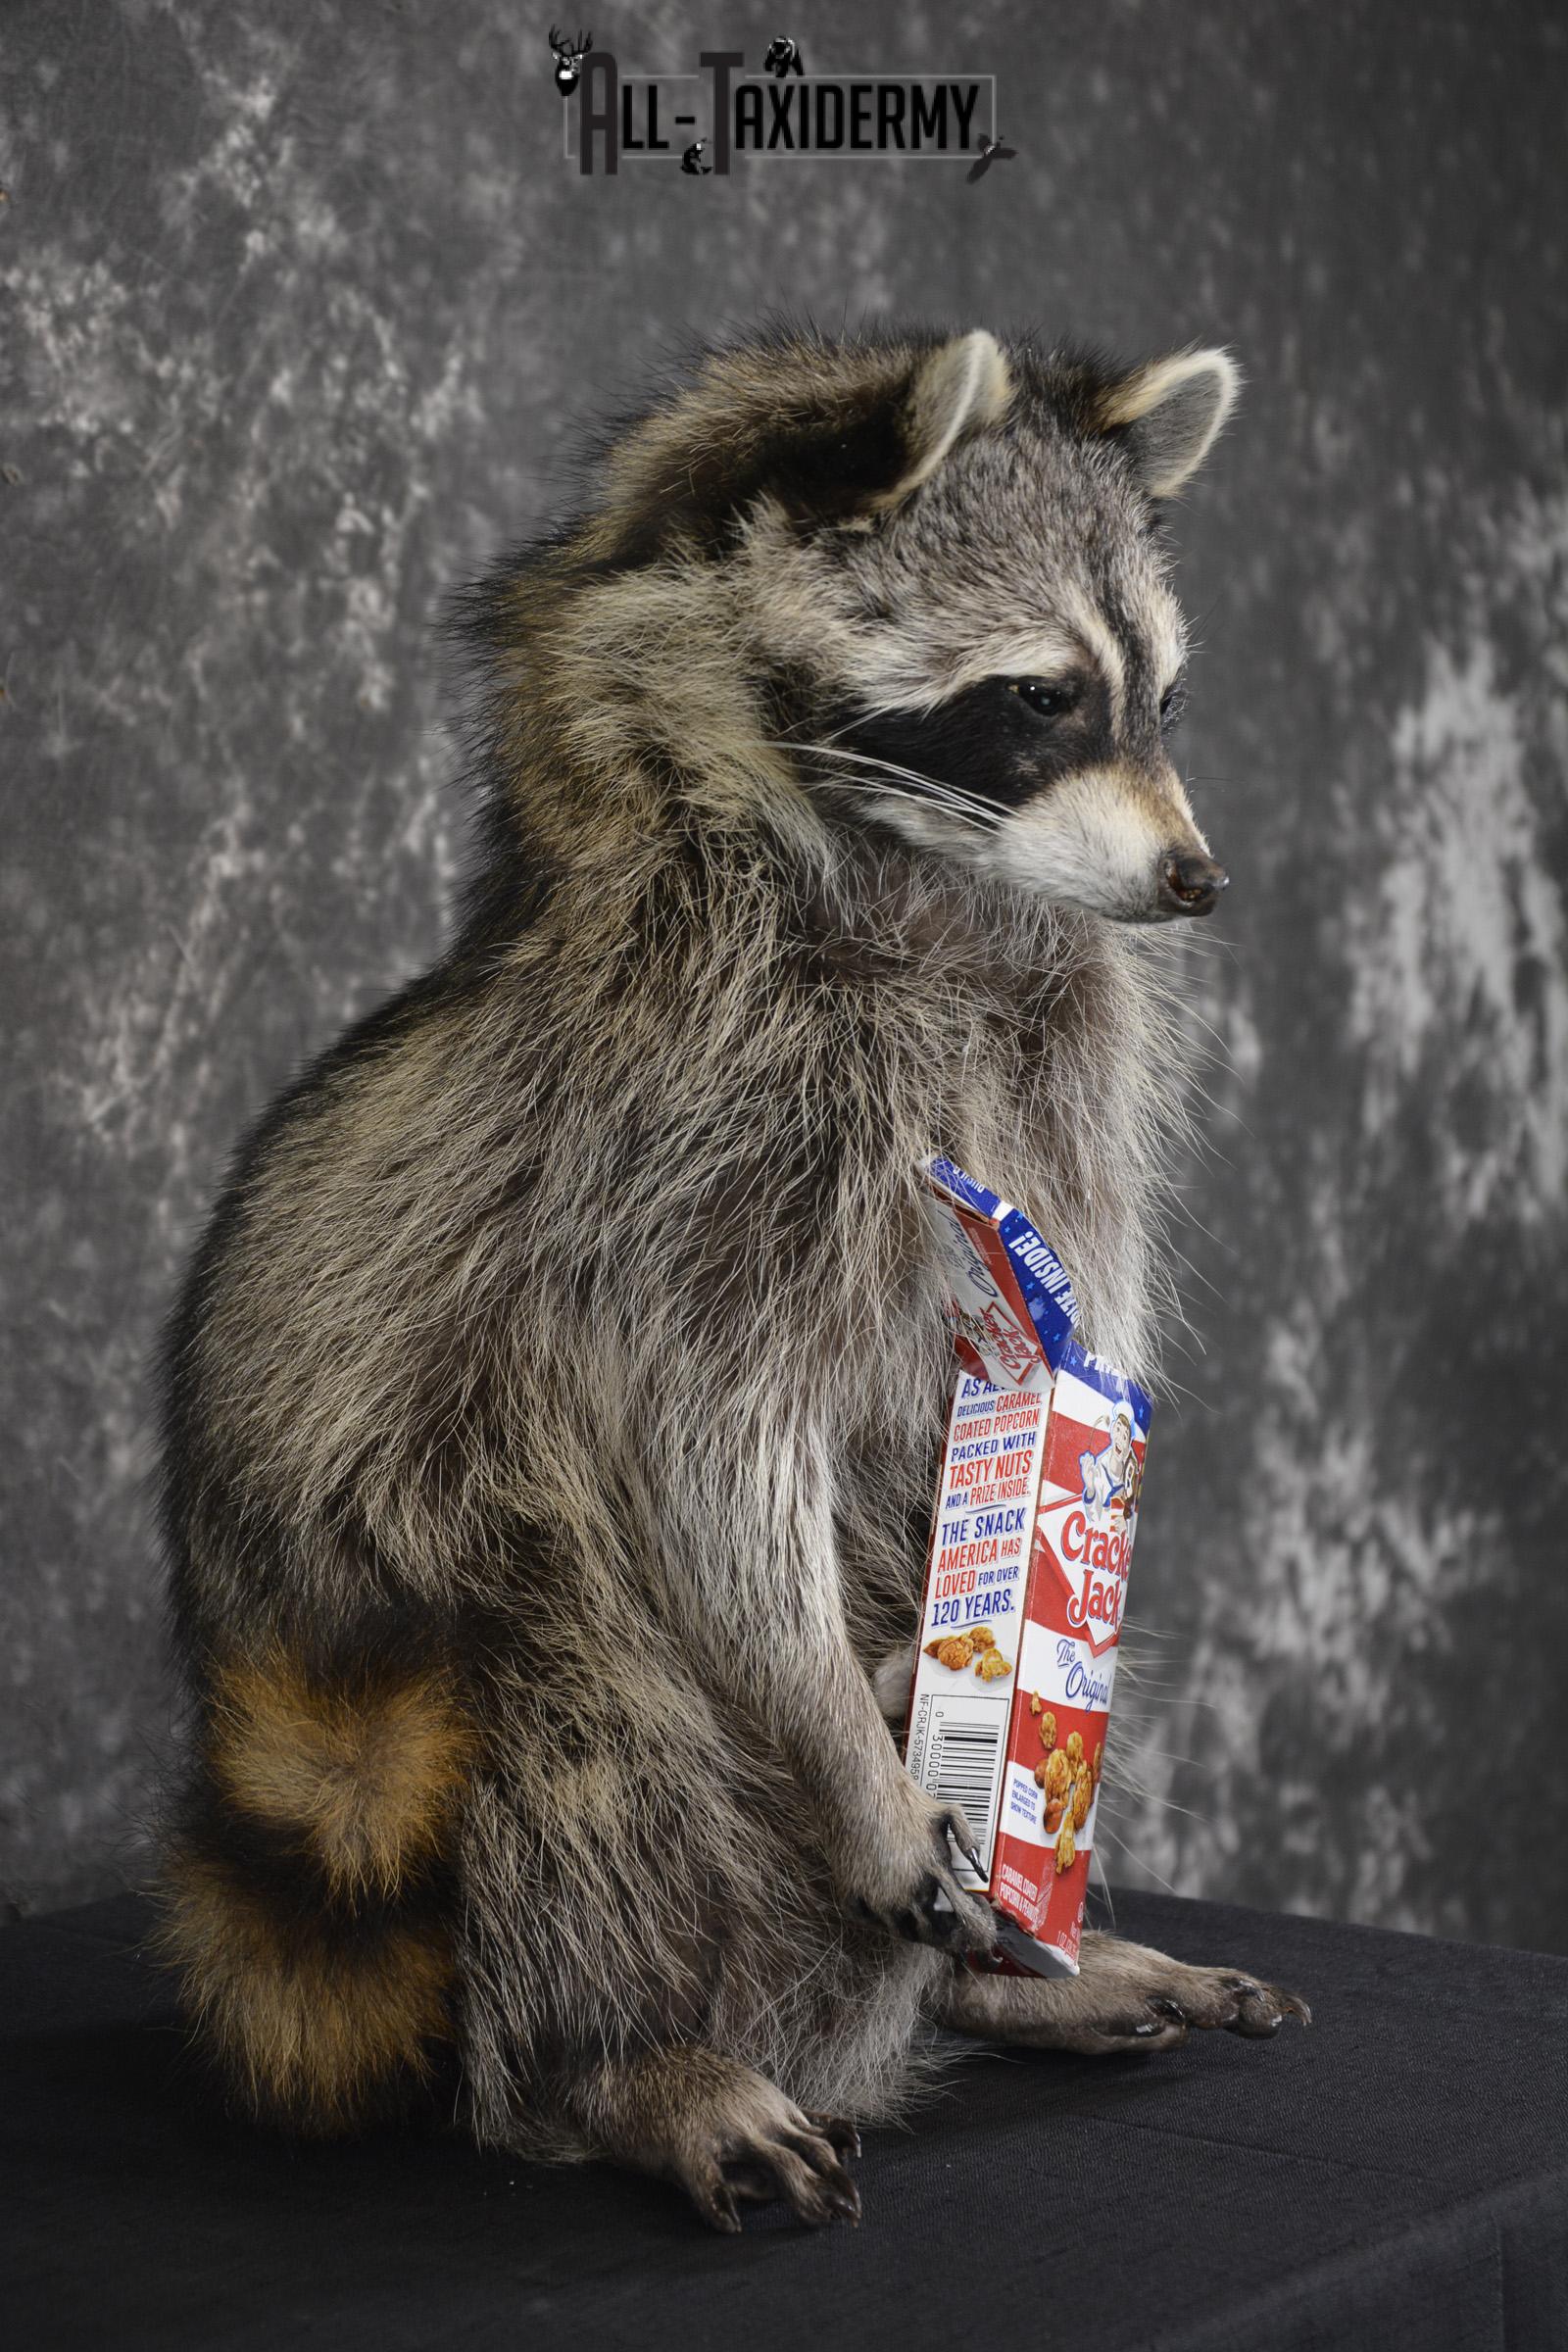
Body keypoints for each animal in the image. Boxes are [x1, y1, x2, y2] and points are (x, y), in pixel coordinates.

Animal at [157, 324, 1308, 2233]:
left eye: (1157, 693)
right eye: (1040, 698)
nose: (1196, 880)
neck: (924, 887)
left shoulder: (1060, 1097)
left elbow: (1052, 1366)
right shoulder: (677, 1138)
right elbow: (700, 1448)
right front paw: (855, 1760)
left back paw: (1007, 1973)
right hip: (417, 1696)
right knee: (588, 1705)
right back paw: (622, 2058)